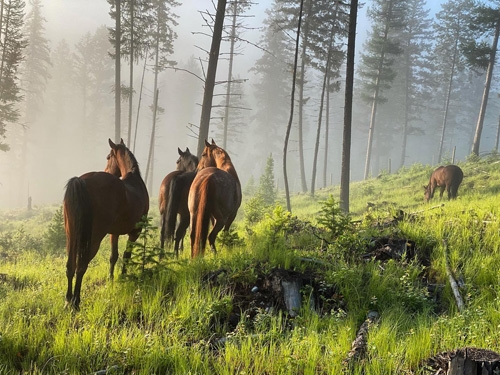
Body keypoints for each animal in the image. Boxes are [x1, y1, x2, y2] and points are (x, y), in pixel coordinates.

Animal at [63, 140, 148, 310]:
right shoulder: (134, 232)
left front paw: (111, 280)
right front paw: (122, 277)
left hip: (71, 235)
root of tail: (81, 181)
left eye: (108, 157)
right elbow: (126, 256)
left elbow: (113, 256)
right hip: (93, 239)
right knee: (81, 266)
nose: (106, 170)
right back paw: (76, 302)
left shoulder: (113, 233)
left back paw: (68, 300)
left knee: (70, 266)